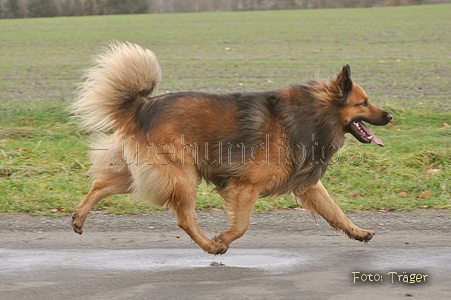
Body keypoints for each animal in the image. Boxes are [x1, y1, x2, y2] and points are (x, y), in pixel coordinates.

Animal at [70, 41, 392, 253]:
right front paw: (222, 239)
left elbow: (336, 212)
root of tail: (142, 106)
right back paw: (211, 247)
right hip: (182, 176)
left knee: (99, 186)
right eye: (363, 103)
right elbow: (241, 226)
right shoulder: (246, 187)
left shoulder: (307, 185)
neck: (314, 113)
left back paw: (78, 218)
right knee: (184, 219)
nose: (390, 116)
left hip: (140, 173)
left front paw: (358, 232)